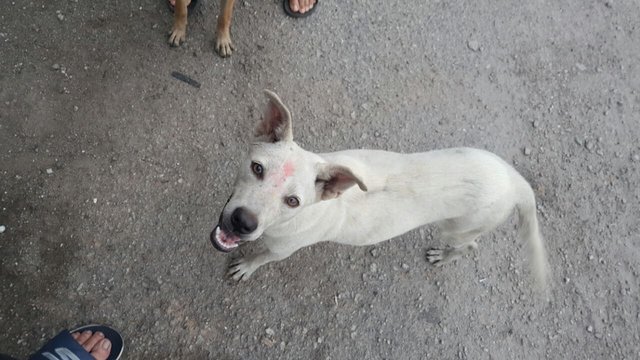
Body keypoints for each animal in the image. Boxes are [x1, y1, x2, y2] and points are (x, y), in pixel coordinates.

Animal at [211, 90, 552, 290]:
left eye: (293, 201)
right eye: (257, 168)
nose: (243, 222)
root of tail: (514, 179)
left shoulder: (281, 250)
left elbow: (262, 258)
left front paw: (247, 266)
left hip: (458, 228)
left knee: (470, 246)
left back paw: (444, 256)